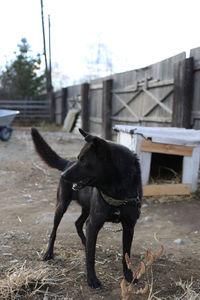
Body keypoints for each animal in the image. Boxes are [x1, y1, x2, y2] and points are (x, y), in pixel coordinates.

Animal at [31, 127, 142, 288]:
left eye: (83, 160)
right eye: (79, 157)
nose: (63, 175)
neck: (117, 192)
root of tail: (67, 163)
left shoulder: (129, 226)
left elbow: (126, 255)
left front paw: (129, 275)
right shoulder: (94, 223)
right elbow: (91, 257)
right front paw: (92, 279)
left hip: (87, 209)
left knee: (78, 223)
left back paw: (85, 242)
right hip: (61, 206)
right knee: (54, 231)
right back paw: (49, 252)